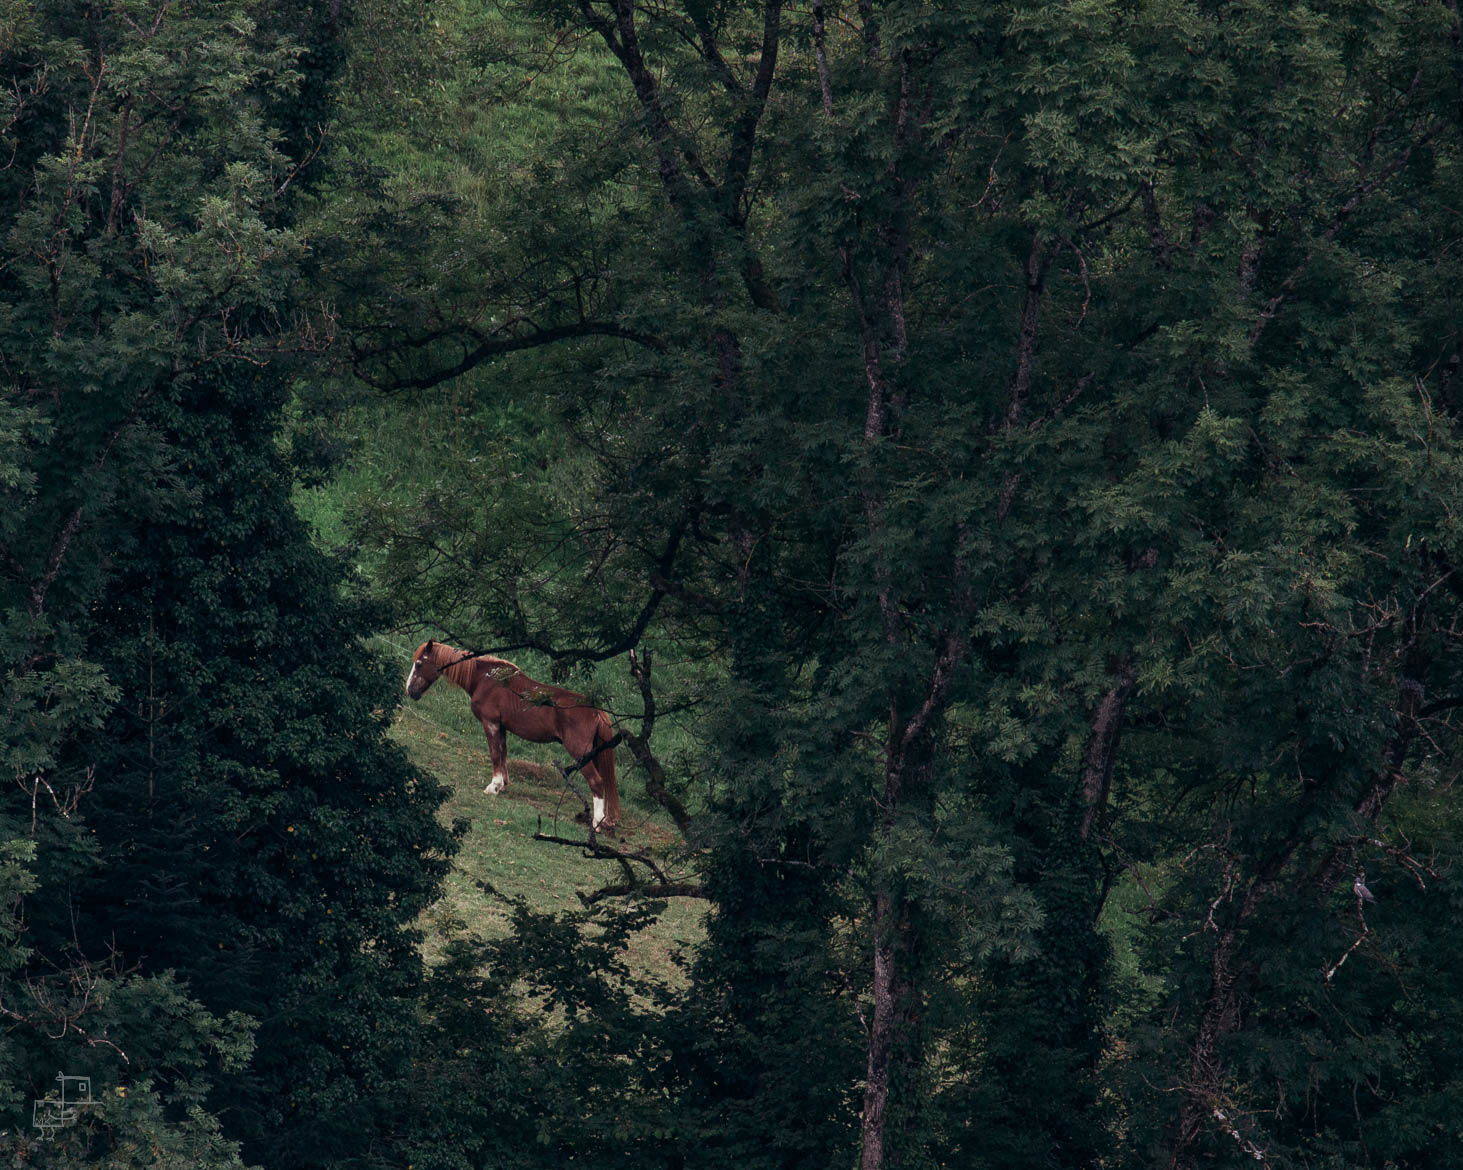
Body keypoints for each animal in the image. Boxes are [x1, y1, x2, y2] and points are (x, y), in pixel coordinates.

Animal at [405, 640, 621, 831]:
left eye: (419, 664)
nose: (409, 691)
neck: (485, 679)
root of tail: (596, 710)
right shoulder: (501, 727)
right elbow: (503, 754)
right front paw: (502, 785)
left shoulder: (490, 724)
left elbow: (494, 754)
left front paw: (493, 787)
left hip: (579, 752)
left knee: (596, 781)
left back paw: (597, 822)